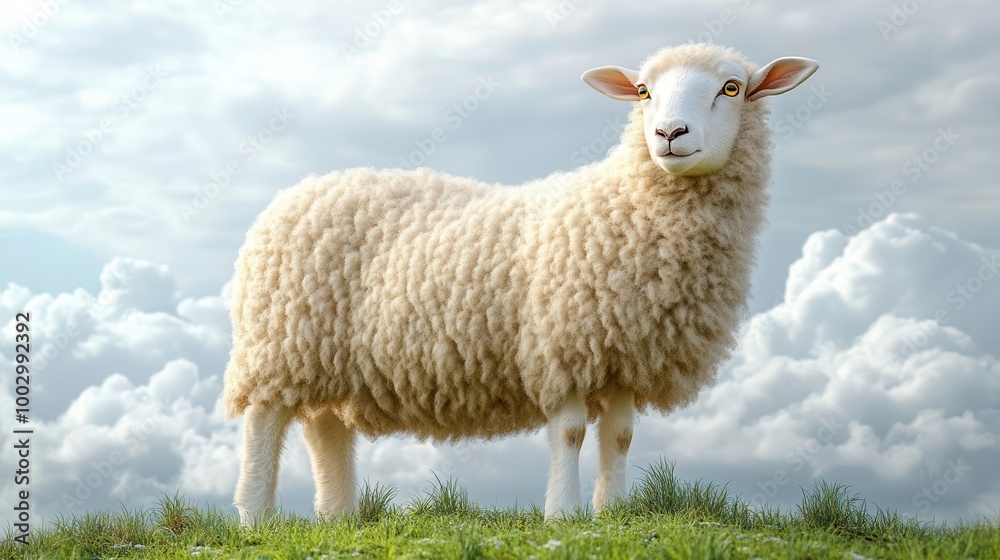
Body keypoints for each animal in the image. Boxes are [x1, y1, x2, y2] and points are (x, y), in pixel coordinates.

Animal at [223, 42, 818, 527]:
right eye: (643, 91)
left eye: (731, 87)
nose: (669, 134)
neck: (627, 207)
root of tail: (297, 190)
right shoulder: (562, 344)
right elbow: (572, 433)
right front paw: (564, 514)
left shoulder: (622, 351)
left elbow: (621, 437)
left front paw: (613, 512)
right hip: (278, 343)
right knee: (263, 422)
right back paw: (254, 517)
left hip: (326, 354)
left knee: (325, 428)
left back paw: (339, 517)